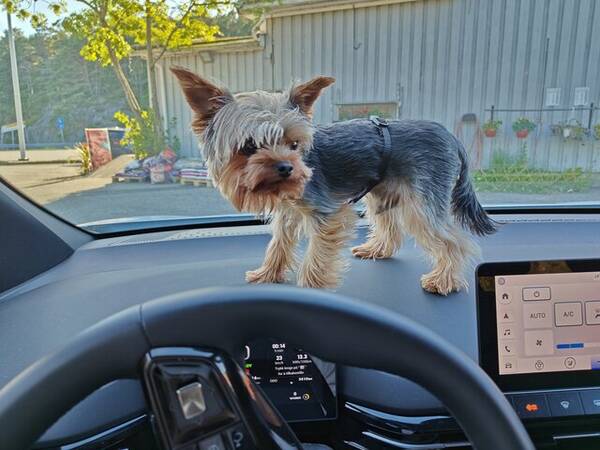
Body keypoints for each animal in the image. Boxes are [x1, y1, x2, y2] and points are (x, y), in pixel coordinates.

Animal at [170, 66, 496, 292]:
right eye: (249, 146)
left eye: (293, 144)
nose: (287, 168)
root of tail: (452, 138)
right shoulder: (289, 211)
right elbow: (279, 243)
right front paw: (267, 275)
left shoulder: (327, 213)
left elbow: (317, 254)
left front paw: (311, 289)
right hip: (383, 190)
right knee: (390, 226)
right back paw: (377, 249)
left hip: (423, 199)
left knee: (452, 241)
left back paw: (443, 281)